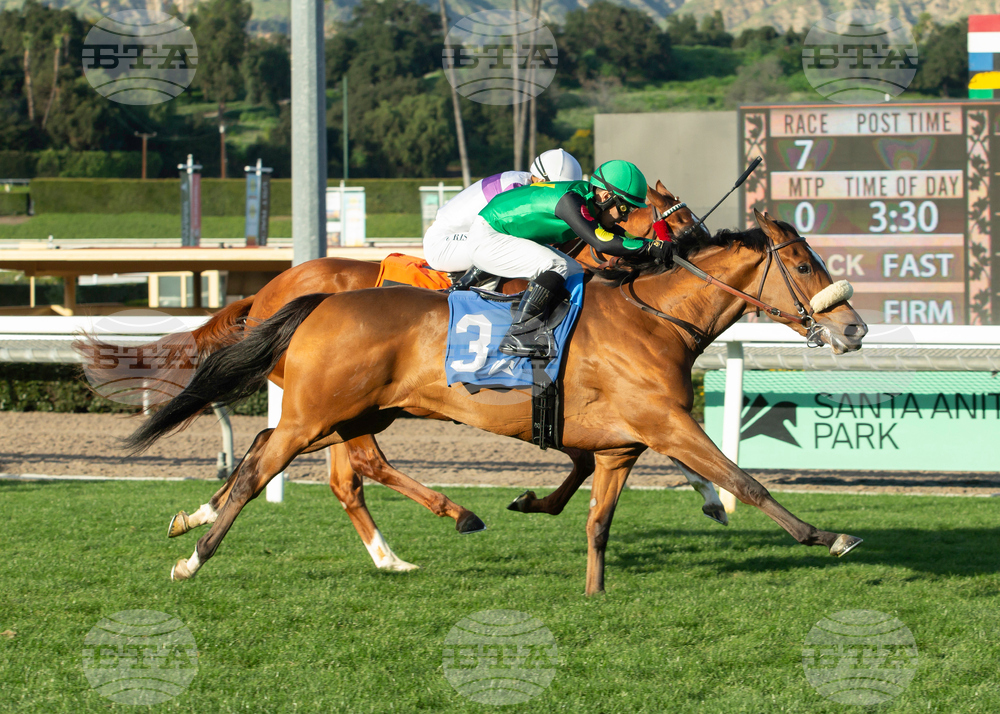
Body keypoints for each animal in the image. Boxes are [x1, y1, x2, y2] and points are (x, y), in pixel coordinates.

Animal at [82, 183, 725, 571]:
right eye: (674, 211)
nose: (699, 239)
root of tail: (269, 290)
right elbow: (628, 446)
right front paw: (712, 494)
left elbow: (608, 451)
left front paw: (710, 495)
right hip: (343, 400)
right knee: (350, 465)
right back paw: (443, 523)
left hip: (344, 402)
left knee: (309, 459)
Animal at [124, 210, 868, 595]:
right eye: (804, 265)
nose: (855, 329)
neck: (654, 318)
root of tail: (311, 299)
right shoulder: (664, 422)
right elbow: (743, 479)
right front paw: (828, 536)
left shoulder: (620, 443)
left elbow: (596, 517)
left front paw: (592, 588)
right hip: (317, 413)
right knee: (263, 470)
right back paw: (196, 555)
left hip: (346, 413)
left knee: (304, 461)